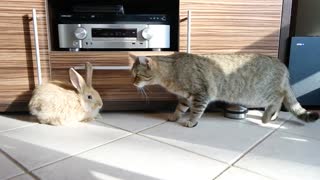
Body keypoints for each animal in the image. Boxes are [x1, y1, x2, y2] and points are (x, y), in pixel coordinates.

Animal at [131, 52, 320, 127]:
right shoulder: (185, 98)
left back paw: (267, 117)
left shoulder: (201, 94)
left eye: (137, 75)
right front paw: (174, 117)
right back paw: (273, 117)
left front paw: (191, 122)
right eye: (131, 74)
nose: (132, 83)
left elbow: (195, 112)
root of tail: (281, 63)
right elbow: (179, 109)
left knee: (278, 98)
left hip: (260, 94)